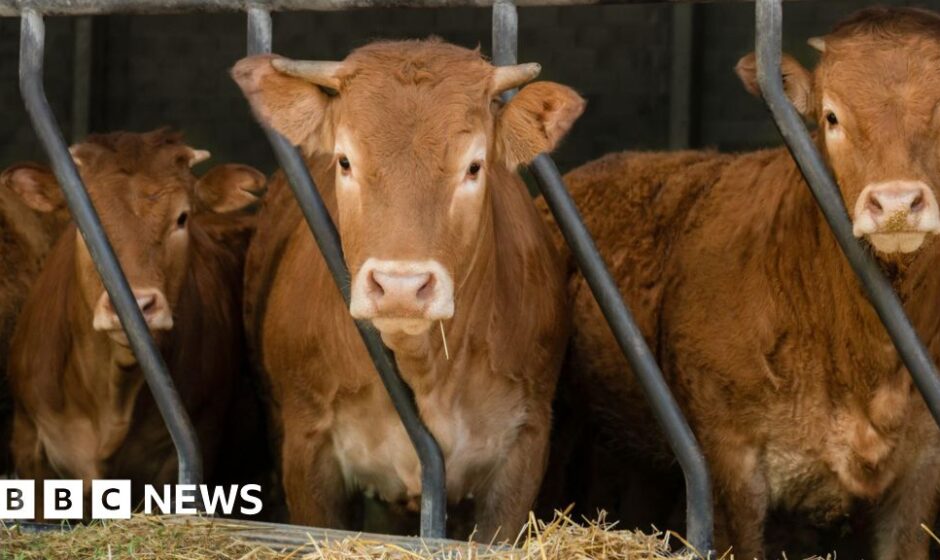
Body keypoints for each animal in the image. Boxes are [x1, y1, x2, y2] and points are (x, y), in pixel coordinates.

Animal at [231, 39, 584, 538]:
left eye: (474, 166)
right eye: (345, 160)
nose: (400, 287)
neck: (424, 368)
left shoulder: (524, 445)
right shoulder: (306, 443)